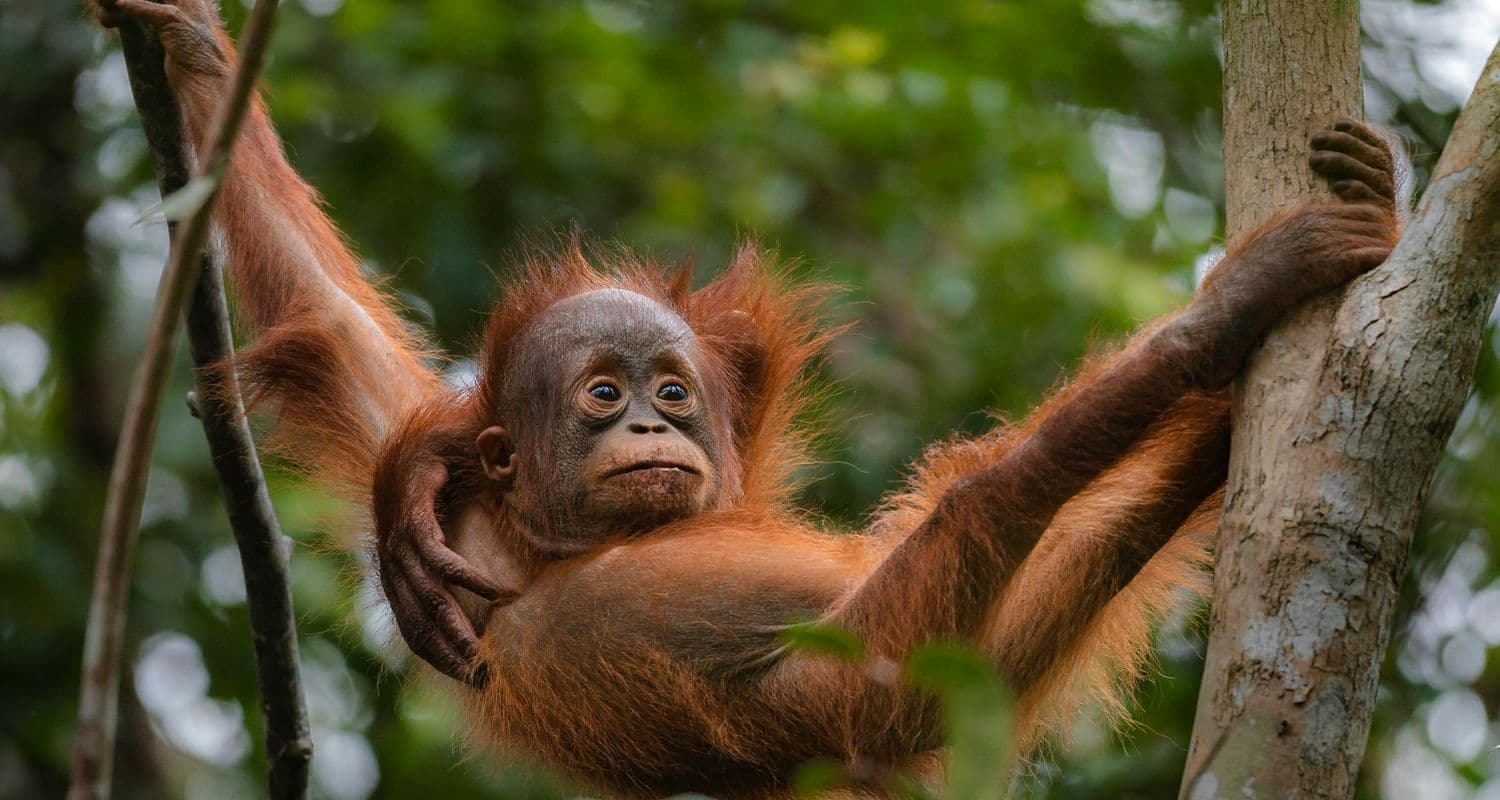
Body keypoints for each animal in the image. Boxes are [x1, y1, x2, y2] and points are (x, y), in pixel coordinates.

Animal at [96, 0, 1404, 796]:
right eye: (603, 393)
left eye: (673, 393)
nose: (649, 425)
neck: (536, 542)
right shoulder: (597, 624)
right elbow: (881, 682)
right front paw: (1225, 310)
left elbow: (325, 315)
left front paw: (194, 45)